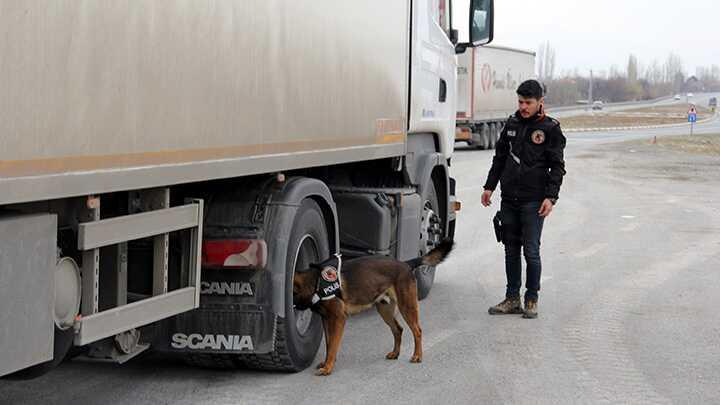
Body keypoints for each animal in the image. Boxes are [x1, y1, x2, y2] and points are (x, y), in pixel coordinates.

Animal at [292, 238, 450, 374]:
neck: (316, 282)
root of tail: (406, 264)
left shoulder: (338, 319)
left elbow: (332, 346)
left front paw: (328, 367)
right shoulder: (326, 319)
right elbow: (329, 343)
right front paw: (326, 363)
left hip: (406, 307)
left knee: (417, 331)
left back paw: (417, 355)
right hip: (385, 310)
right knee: (398, 329)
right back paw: (395, 353)